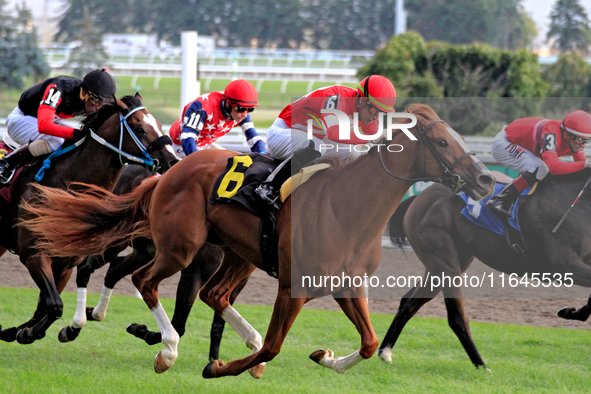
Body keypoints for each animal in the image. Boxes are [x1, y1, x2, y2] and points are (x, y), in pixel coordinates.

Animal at [0, 95, 180, 344]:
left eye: (159, 125)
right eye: (139, 128)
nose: (173, 161)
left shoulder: (65, 263)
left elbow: (46, 306)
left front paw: (23, 331)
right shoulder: (33, 254)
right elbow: (54, 305)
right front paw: (28, 332)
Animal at [20, 103, 498, 378]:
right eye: (441, 142)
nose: (484, 179)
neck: (349, 207)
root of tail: (166, 173)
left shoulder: (344, 284)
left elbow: (368, 342)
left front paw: (326, 358)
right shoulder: (293, 286)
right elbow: (274, 343)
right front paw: (218, 366)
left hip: (239, 253)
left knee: (212, 294)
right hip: (181, 247)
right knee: (144, 281)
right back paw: (167, 350)